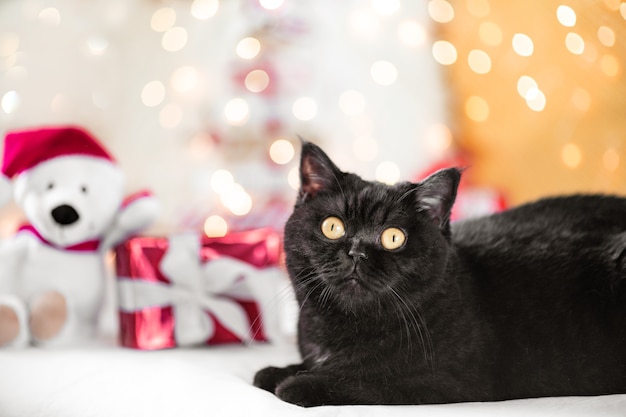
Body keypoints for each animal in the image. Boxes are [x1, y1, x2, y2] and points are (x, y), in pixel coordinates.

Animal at [252, 141, 624, 404]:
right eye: (333, 227)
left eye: (393, 237)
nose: (357, 252)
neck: (343, 329)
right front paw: (278, 371)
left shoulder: (446, 383)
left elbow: (369, 380)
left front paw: (298, 383)